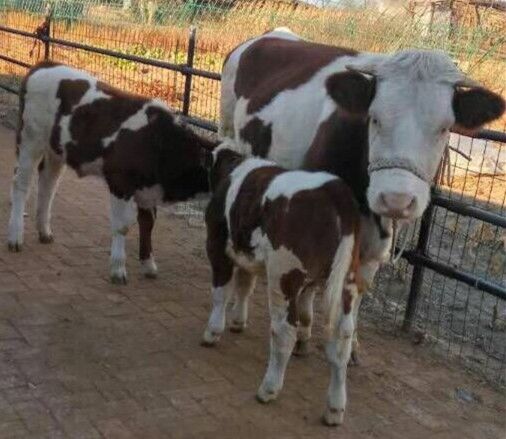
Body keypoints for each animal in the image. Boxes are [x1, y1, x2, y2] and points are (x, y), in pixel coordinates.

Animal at [8, 62, 215, 284]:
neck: (158, 140)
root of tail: (43, 65)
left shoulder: (148, 189)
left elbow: (147, 224)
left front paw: (148, 265)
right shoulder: (120, 183)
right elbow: (122, 226)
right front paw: (118, 269)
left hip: (56, 150)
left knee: (48, 184)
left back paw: (44, 231)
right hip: (30, 140)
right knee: (21, 184)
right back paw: (15, 237)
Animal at [202, 144, 364, 426]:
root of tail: (335, 190)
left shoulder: (217, 242)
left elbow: (221, 291)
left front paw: (213, 331)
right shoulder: (249, 254)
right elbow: (245, 284)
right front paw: (238, 322)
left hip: (283, 275)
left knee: (284, 331)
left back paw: (268, 389)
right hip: (347, 282)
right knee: (341, 341)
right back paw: (334, 409)